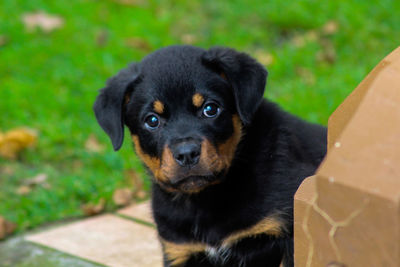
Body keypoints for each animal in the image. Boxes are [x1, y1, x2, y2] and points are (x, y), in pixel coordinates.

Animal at [93, 45, 324, 266]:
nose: (186, 153)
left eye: (210, 109)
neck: (205, 199)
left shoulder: (291, 235)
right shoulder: (180, 250)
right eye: (152, 120)